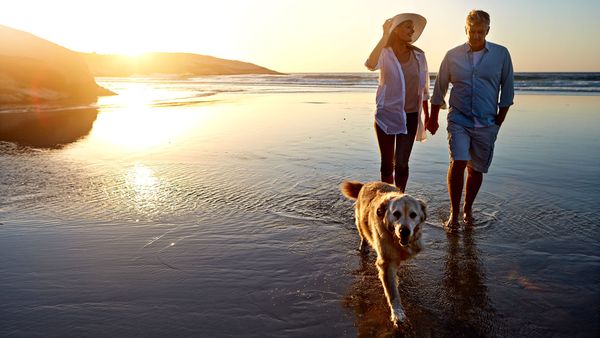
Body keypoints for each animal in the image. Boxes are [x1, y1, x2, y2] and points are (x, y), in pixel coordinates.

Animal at [342, 181, 426, 326]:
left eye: (413, 215)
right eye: (396, 214)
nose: (404, 231)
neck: (395, 239)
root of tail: (366, 183)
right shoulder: (386, 263)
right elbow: (392, 292)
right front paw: (397, 313)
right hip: (360, 222)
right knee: (363, 234)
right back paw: (363, 246)